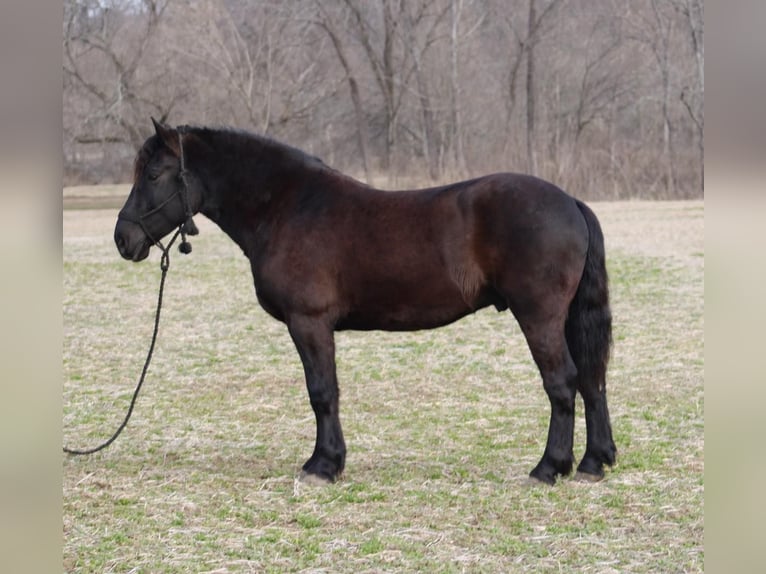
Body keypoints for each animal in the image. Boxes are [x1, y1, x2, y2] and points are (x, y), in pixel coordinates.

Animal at [114, 120, 616, 486]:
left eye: (154, 174)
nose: (123, 239)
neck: (287, 206)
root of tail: (569, 201)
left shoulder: (309, 323)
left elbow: (322, 392)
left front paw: (323, 465)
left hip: (539, 318)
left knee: (562, 383)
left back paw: (548, 468)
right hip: (565, 319)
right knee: (592, 380)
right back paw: (593, 463)